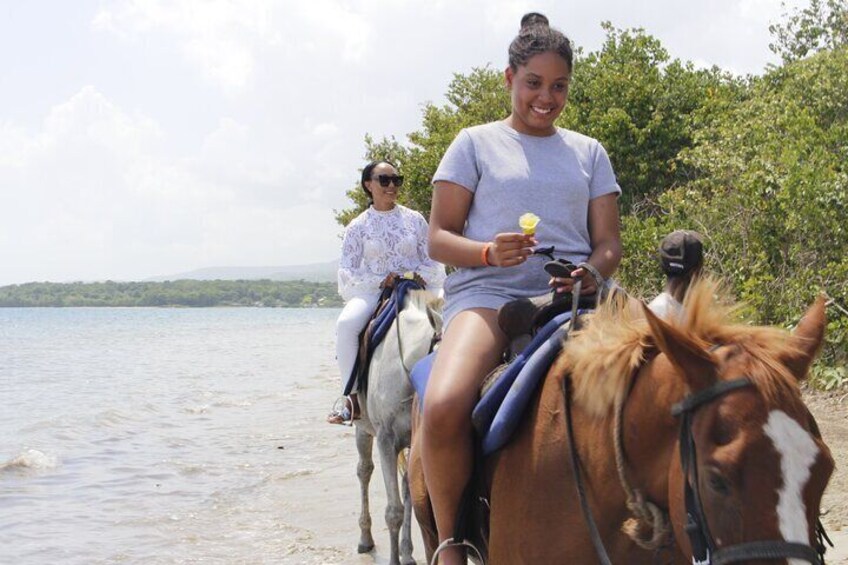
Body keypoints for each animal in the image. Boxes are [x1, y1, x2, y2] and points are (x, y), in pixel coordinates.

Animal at [352, 288, 444, 560]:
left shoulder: (414, 440)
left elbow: (411, 492)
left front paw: (406, 553)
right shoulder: (386, 440)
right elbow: (393, 511)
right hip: (363, 428)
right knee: (364, 471)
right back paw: (365, 538)